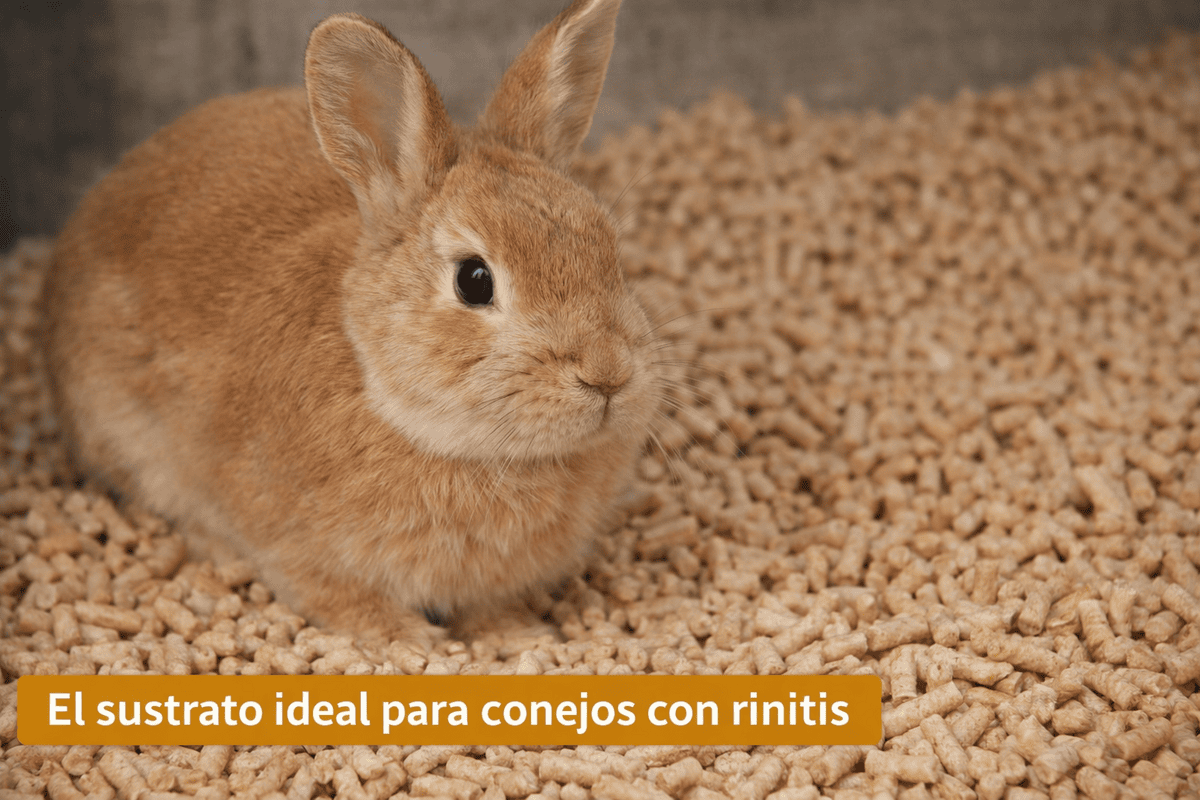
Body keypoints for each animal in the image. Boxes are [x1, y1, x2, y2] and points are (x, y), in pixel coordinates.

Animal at [44, 0, 663, 642]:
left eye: (610, 250)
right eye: (474, 280)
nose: (608, 373)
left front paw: (518, 633)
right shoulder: (293, 545)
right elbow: (337, 597)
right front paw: (410, 640)